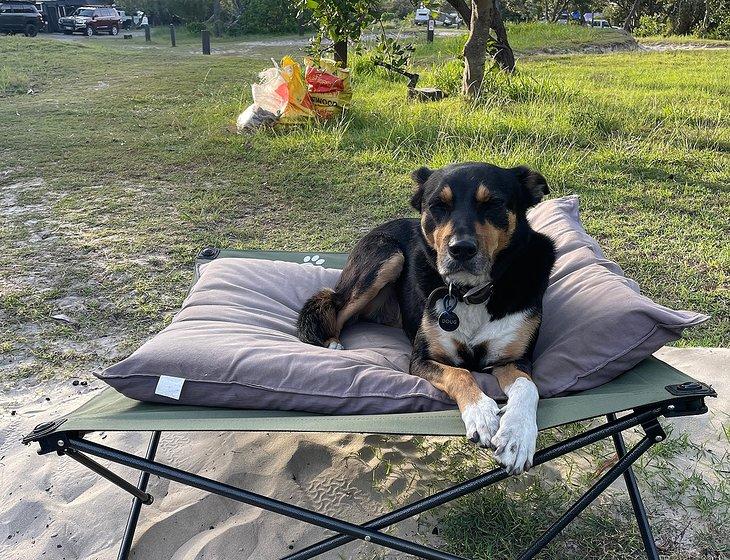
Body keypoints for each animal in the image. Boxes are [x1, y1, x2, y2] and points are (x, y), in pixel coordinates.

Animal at [294, 161, 552, 472]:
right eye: (438, 205)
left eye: (493, 203)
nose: (460, 249)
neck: (469, 293)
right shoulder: (420, 358)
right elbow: (460, 373)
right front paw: (481, 413)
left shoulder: (514, 360)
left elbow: (528, 388)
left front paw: (517, 435)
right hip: (387, 256)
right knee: (337, 307)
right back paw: (332, 343)